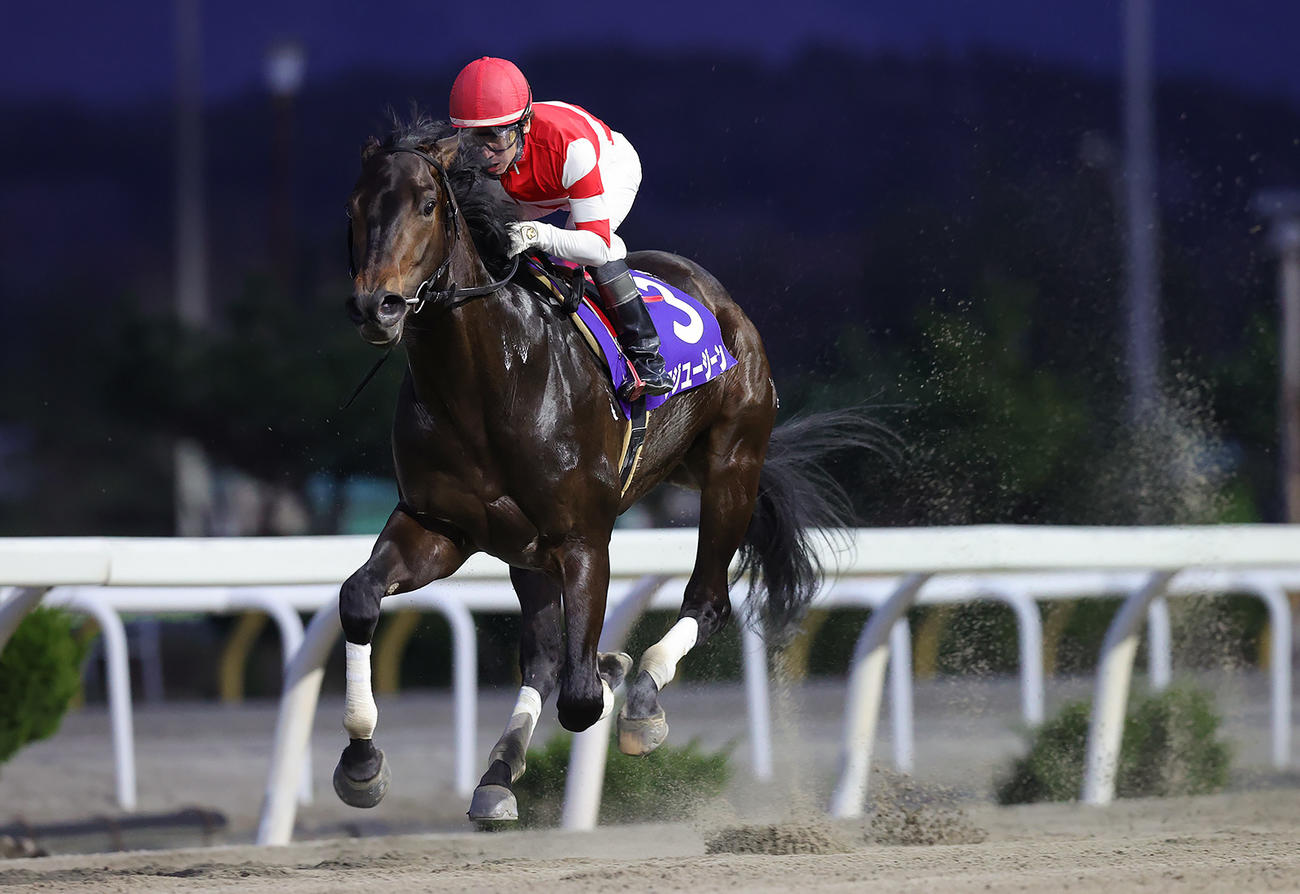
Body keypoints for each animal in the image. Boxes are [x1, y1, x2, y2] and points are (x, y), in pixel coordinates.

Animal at [337, 115, 875, 822]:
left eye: (427, 205)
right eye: (353, 208)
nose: (379, 307)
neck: (485, 382)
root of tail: (721, 298)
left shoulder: (583, 538)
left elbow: (582, 697)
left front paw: (616, 675)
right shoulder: (441, 526)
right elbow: (359, 599)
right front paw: (361, 763)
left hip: (731, 468)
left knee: (706, 601)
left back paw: (641, 697)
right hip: (530, 544)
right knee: (543, 660)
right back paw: (498, 777)